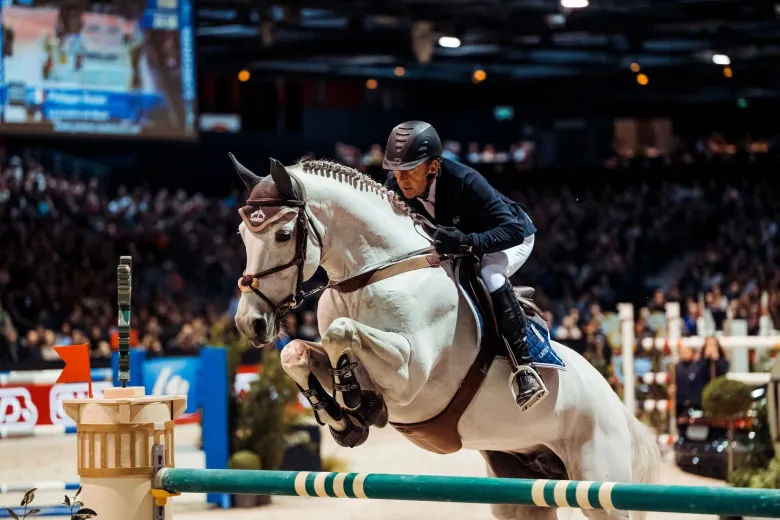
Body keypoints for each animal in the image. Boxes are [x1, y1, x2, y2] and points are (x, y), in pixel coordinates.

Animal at [230, 154, 660, 520]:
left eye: (284, 234)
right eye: (241, 233)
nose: (250, 323)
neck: (372, 275)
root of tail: (618, 404)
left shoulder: (409, 377)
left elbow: (341, 334)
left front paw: (353, 400)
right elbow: (297, 352)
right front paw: (342, 419)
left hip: (601, 485)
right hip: (520, 488)